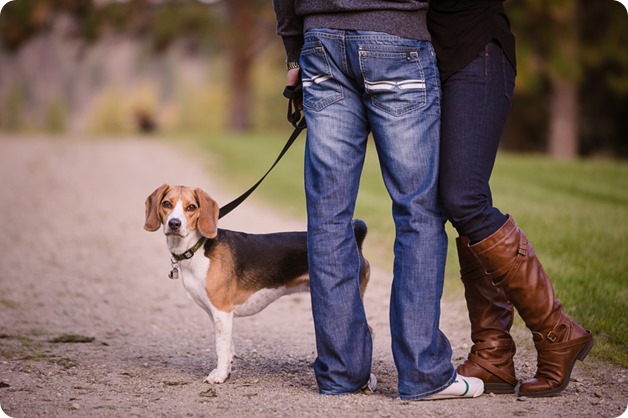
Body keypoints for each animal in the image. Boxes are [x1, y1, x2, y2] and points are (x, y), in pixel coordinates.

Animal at [144, 185, 368, 384]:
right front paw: (225, 370)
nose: (174, 224)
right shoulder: (216, 313)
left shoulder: (222, 310)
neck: (198, 247)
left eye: (191, 207)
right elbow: (228, 346)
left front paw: (220, 376)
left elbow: (220, 346)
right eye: (166, 204)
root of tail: (356, 239)